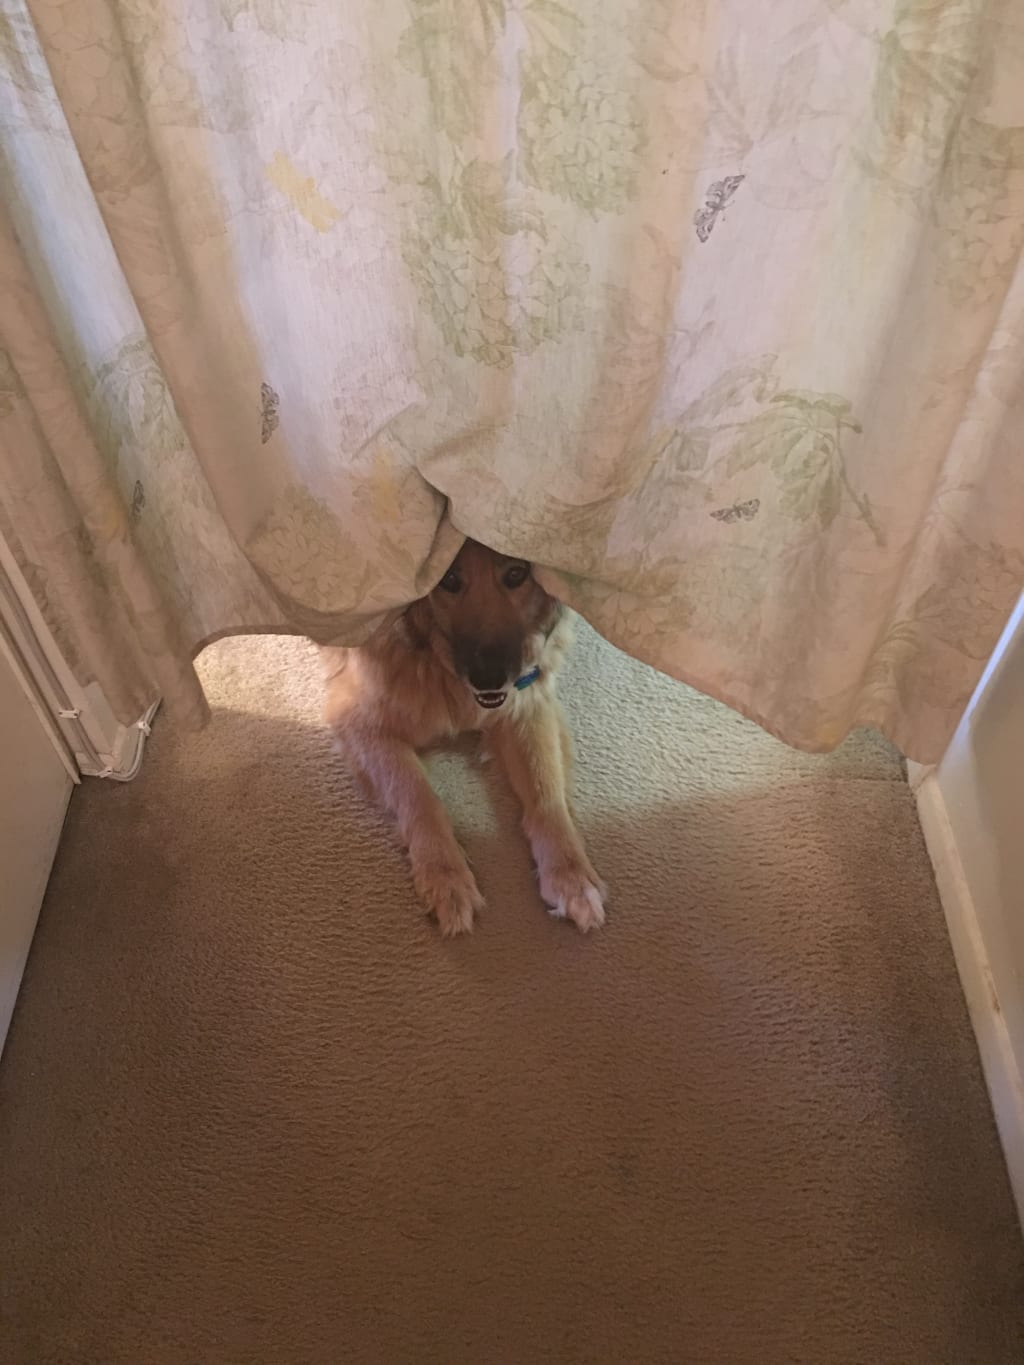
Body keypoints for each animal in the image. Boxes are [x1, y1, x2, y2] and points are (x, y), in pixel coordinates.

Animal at [322, 539, 606, 937]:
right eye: (449, 579)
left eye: (516, 574)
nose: (489, 679)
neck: (436, 661)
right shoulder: (363, 723)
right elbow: (418, 795)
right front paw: (446, 877)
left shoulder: (527, 705)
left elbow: (546, 793)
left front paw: (571, 877)